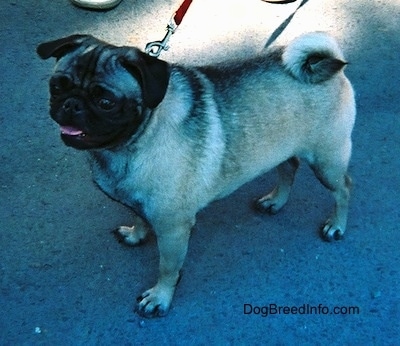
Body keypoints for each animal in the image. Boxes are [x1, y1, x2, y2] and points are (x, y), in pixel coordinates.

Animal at [37, 31, 356, 316]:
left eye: (106, 102)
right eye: (56, 87)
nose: (71, 104)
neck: (135, 138)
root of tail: (322, 66)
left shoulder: (173, 228)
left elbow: (168, 267)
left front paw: (159, 298)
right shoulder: (142, 204)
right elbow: (138, 217)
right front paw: (135, 234)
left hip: (326, 161)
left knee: (344, 189)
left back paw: (336, 226)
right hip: (281, 148)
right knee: (289, 168)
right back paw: (275, 201)